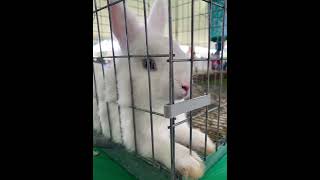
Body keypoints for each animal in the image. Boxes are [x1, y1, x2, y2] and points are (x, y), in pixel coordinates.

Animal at [94, 0, 216, 178]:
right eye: (148, 64)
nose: (186, 85)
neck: (159, 107)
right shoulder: (144, 139)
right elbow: (169, 147)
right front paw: (193, 164)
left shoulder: (177, 127)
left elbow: (187, 133)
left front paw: (207, 144)